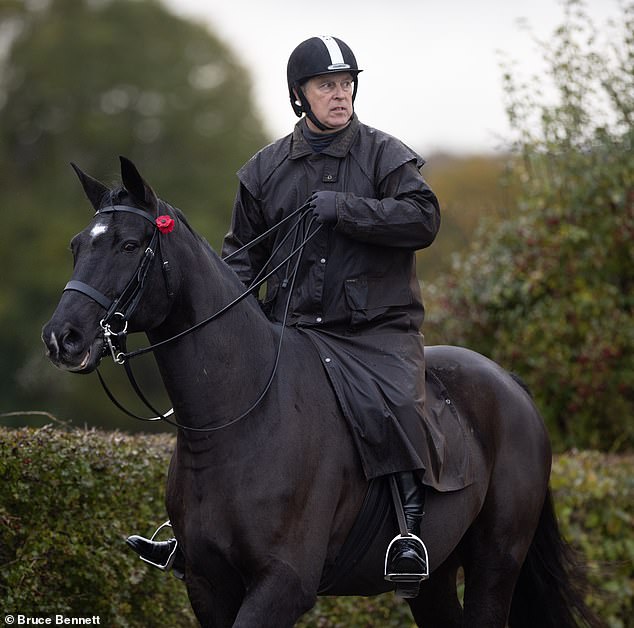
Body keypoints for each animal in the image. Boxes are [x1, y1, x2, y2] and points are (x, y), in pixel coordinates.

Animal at [42, 158, 596, 628]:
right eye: (75, 246)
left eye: (129, 245)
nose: (61, 338)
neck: (238, 420)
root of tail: (509, 383)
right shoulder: (208, 586)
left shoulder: (282, 584)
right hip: (436, 578)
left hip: (495, 563)